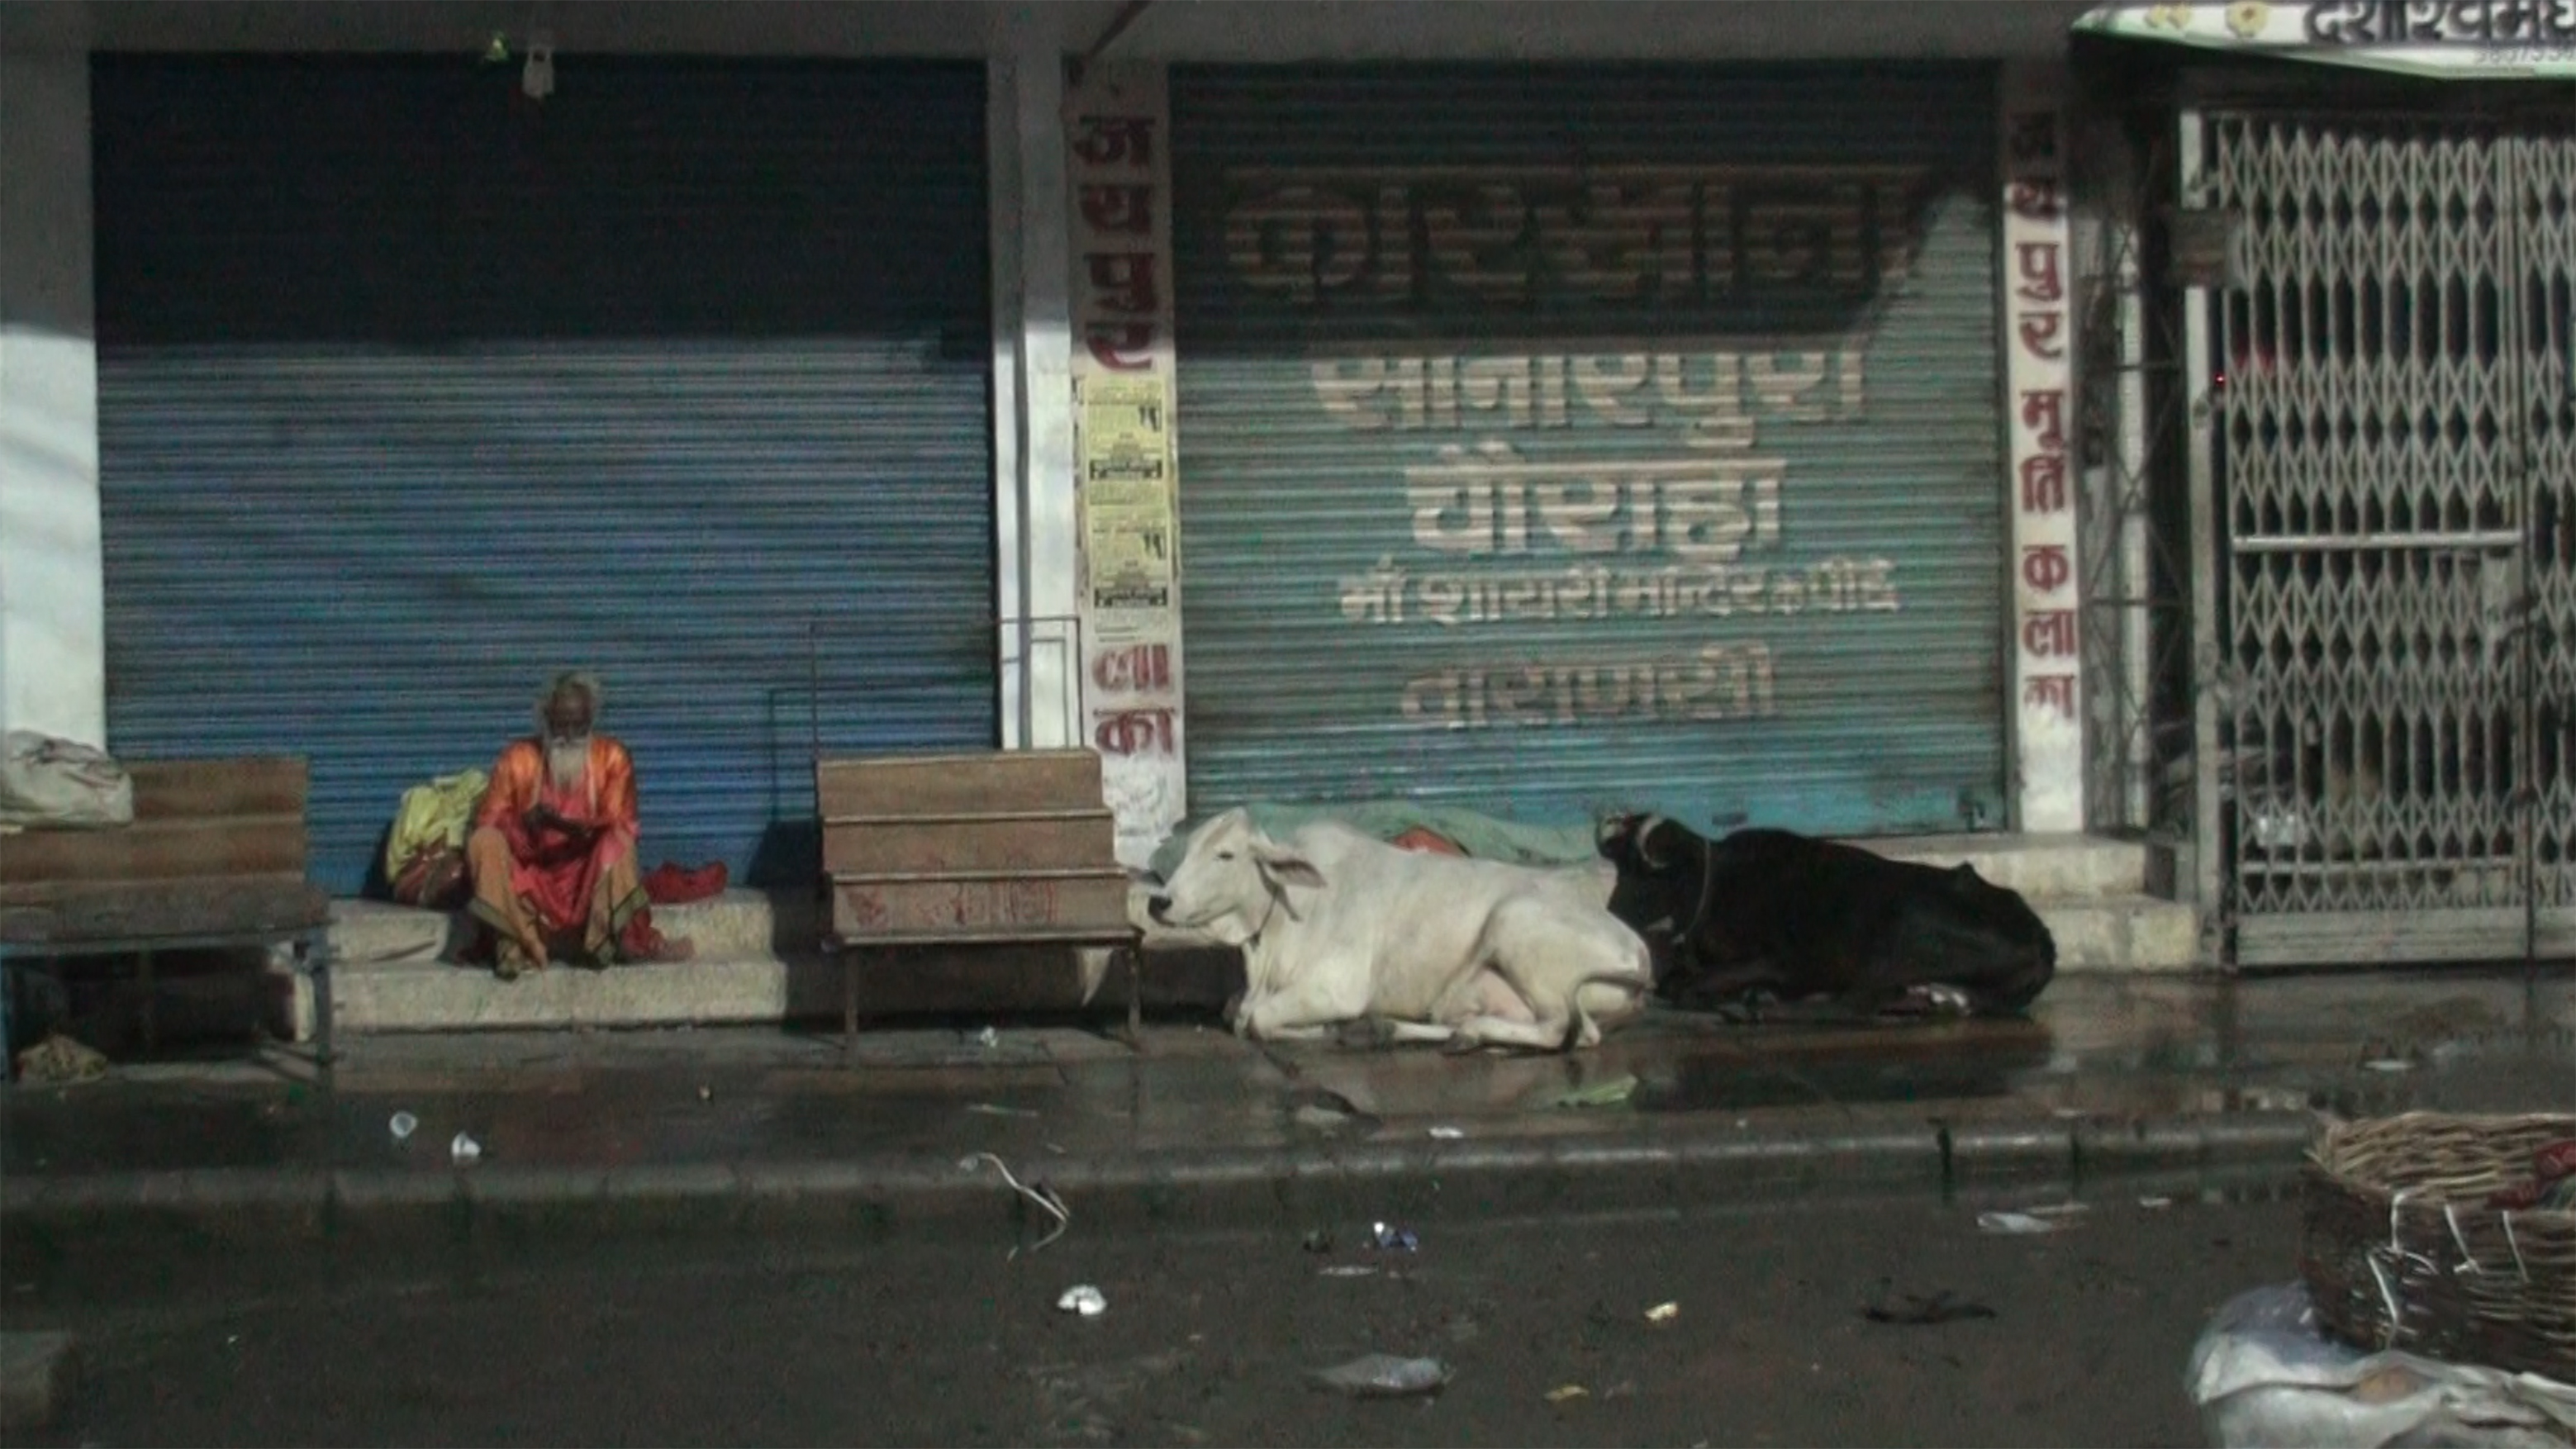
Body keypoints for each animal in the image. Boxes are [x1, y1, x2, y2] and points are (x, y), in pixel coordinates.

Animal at [1148, 803, 1648, 1055]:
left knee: (1560, 1030)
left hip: (1518, 929)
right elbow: (1235, 1011)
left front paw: (1325, 1030)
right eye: (1189, 848)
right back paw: (1393, 1030)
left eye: (1225, 855)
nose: (1160, 901)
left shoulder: (1337, 988)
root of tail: (1638, 951)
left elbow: (1258, 1020)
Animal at [1597, 818, 2060, 1019]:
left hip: (1905, 928)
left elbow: (1688, 988)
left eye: (1639, 872)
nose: (1609, 915)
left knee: (1863, 997)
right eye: (1620, 867)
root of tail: (2042, 937)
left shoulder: (1782, 961)